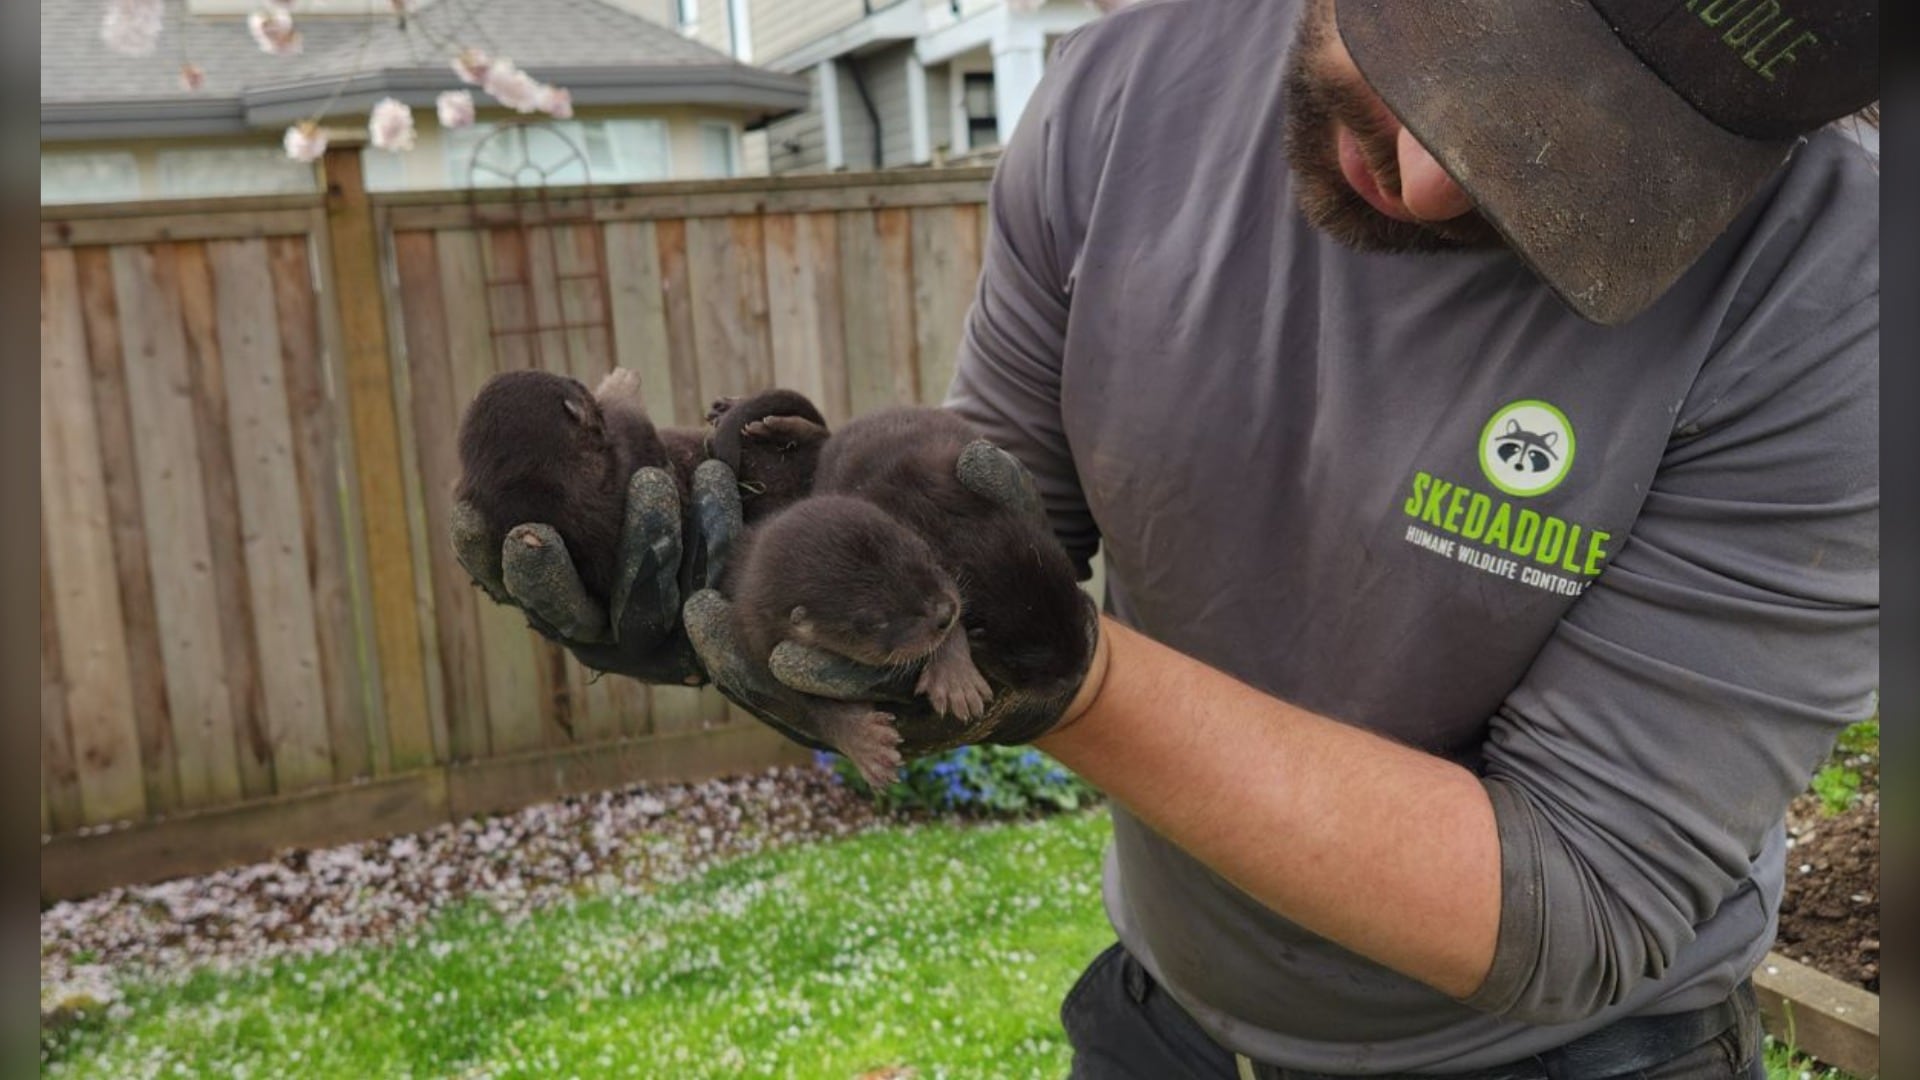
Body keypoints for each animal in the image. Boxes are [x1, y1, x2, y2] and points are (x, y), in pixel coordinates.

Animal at [726, 494, 992, 787]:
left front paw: (955, 679)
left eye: (926, 554)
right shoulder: (758, 645)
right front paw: (865, 744)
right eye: (874, 623)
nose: (944, 613)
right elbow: (810, 707)